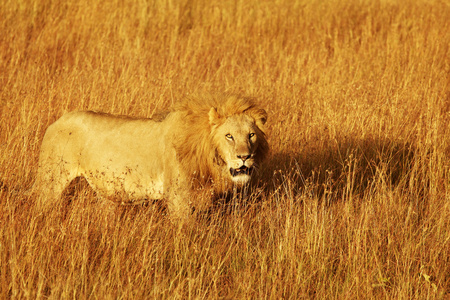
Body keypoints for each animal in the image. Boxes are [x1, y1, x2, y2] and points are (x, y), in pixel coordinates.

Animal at [35, 94, 268, 220]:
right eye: (229, 136)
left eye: (251, 135)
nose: (245, 157)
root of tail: (57, 121)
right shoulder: (178, 197)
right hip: (51, 180)